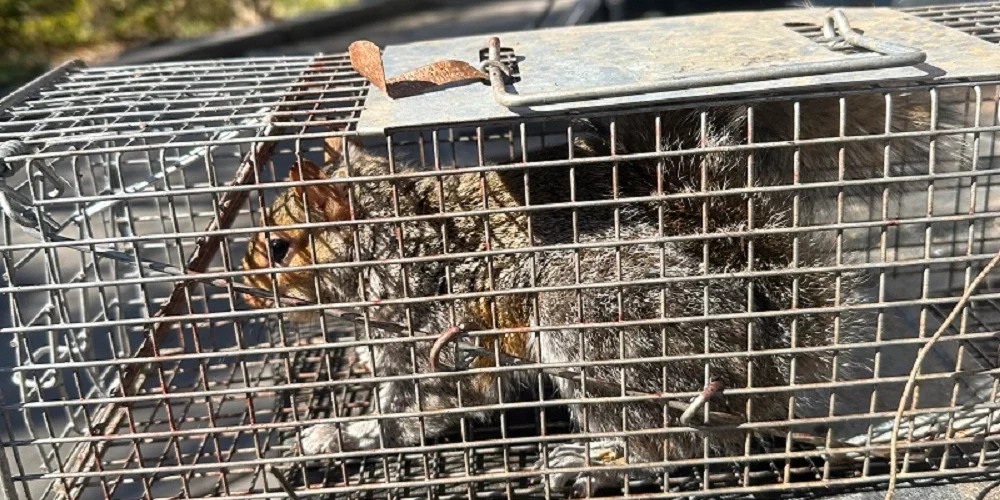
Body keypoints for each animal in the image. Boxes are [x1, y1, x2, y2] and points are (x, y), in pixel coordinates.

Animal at [239, 90, 968, 495]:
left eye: (279, 247)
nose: (243, 295)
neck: (396, 239)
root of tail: (763, 363)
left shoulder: (449, 331)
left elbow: (445, 399)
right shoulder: (396, 352)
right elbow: (395, 416)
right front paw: (332, 438)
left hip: (586, 325)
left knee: (678, 448)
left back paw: (602, 466)